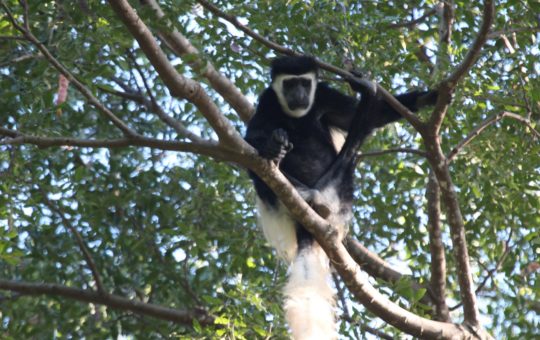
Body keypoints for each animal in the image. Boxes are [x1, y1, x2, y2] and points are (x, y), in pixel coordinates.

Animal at [247, 56, 436, 340]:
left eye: (304, 83)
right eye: (289, 84)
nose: (298, 95)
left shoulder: (325, 96)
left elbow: (372, 117)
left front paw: (426, 97)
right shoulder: (268, 100)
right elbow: (252, 137)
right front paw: (271, 145)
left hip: (340, 190)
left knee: (355, 141)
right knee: (256, 170)